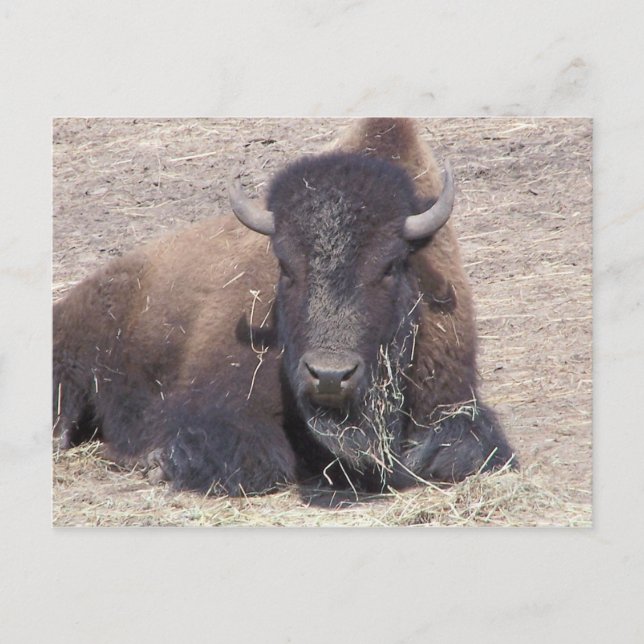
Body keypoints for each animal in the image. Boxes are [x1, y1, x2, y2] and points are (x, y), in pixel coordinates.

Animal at [53, 118, 516, 496]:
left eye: (389, 266)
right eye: (286, 266)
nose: (329, 376)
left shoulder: (454, 400)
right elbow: (259, 459)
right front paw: (157, 463)